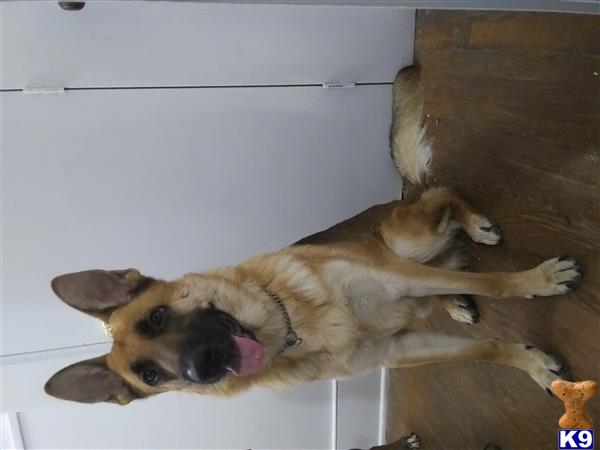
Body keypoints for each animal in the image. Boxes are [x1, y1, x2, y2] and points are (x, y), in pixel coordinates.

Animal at [44, 66, 580, 404]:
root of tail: (395, 202)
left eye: (156, 317)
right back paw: (455, 299)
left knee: (443, 193)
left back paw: (475, 227)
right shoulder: (400, 349)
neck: (292, 329)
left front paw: (537, 281)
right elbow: (485, 347)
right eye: (151, 376)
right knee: (448, 253)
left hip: (409, 238)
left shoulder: (401, 278)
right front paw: (529, 362)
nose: (203, 364)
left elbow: (497, 283)